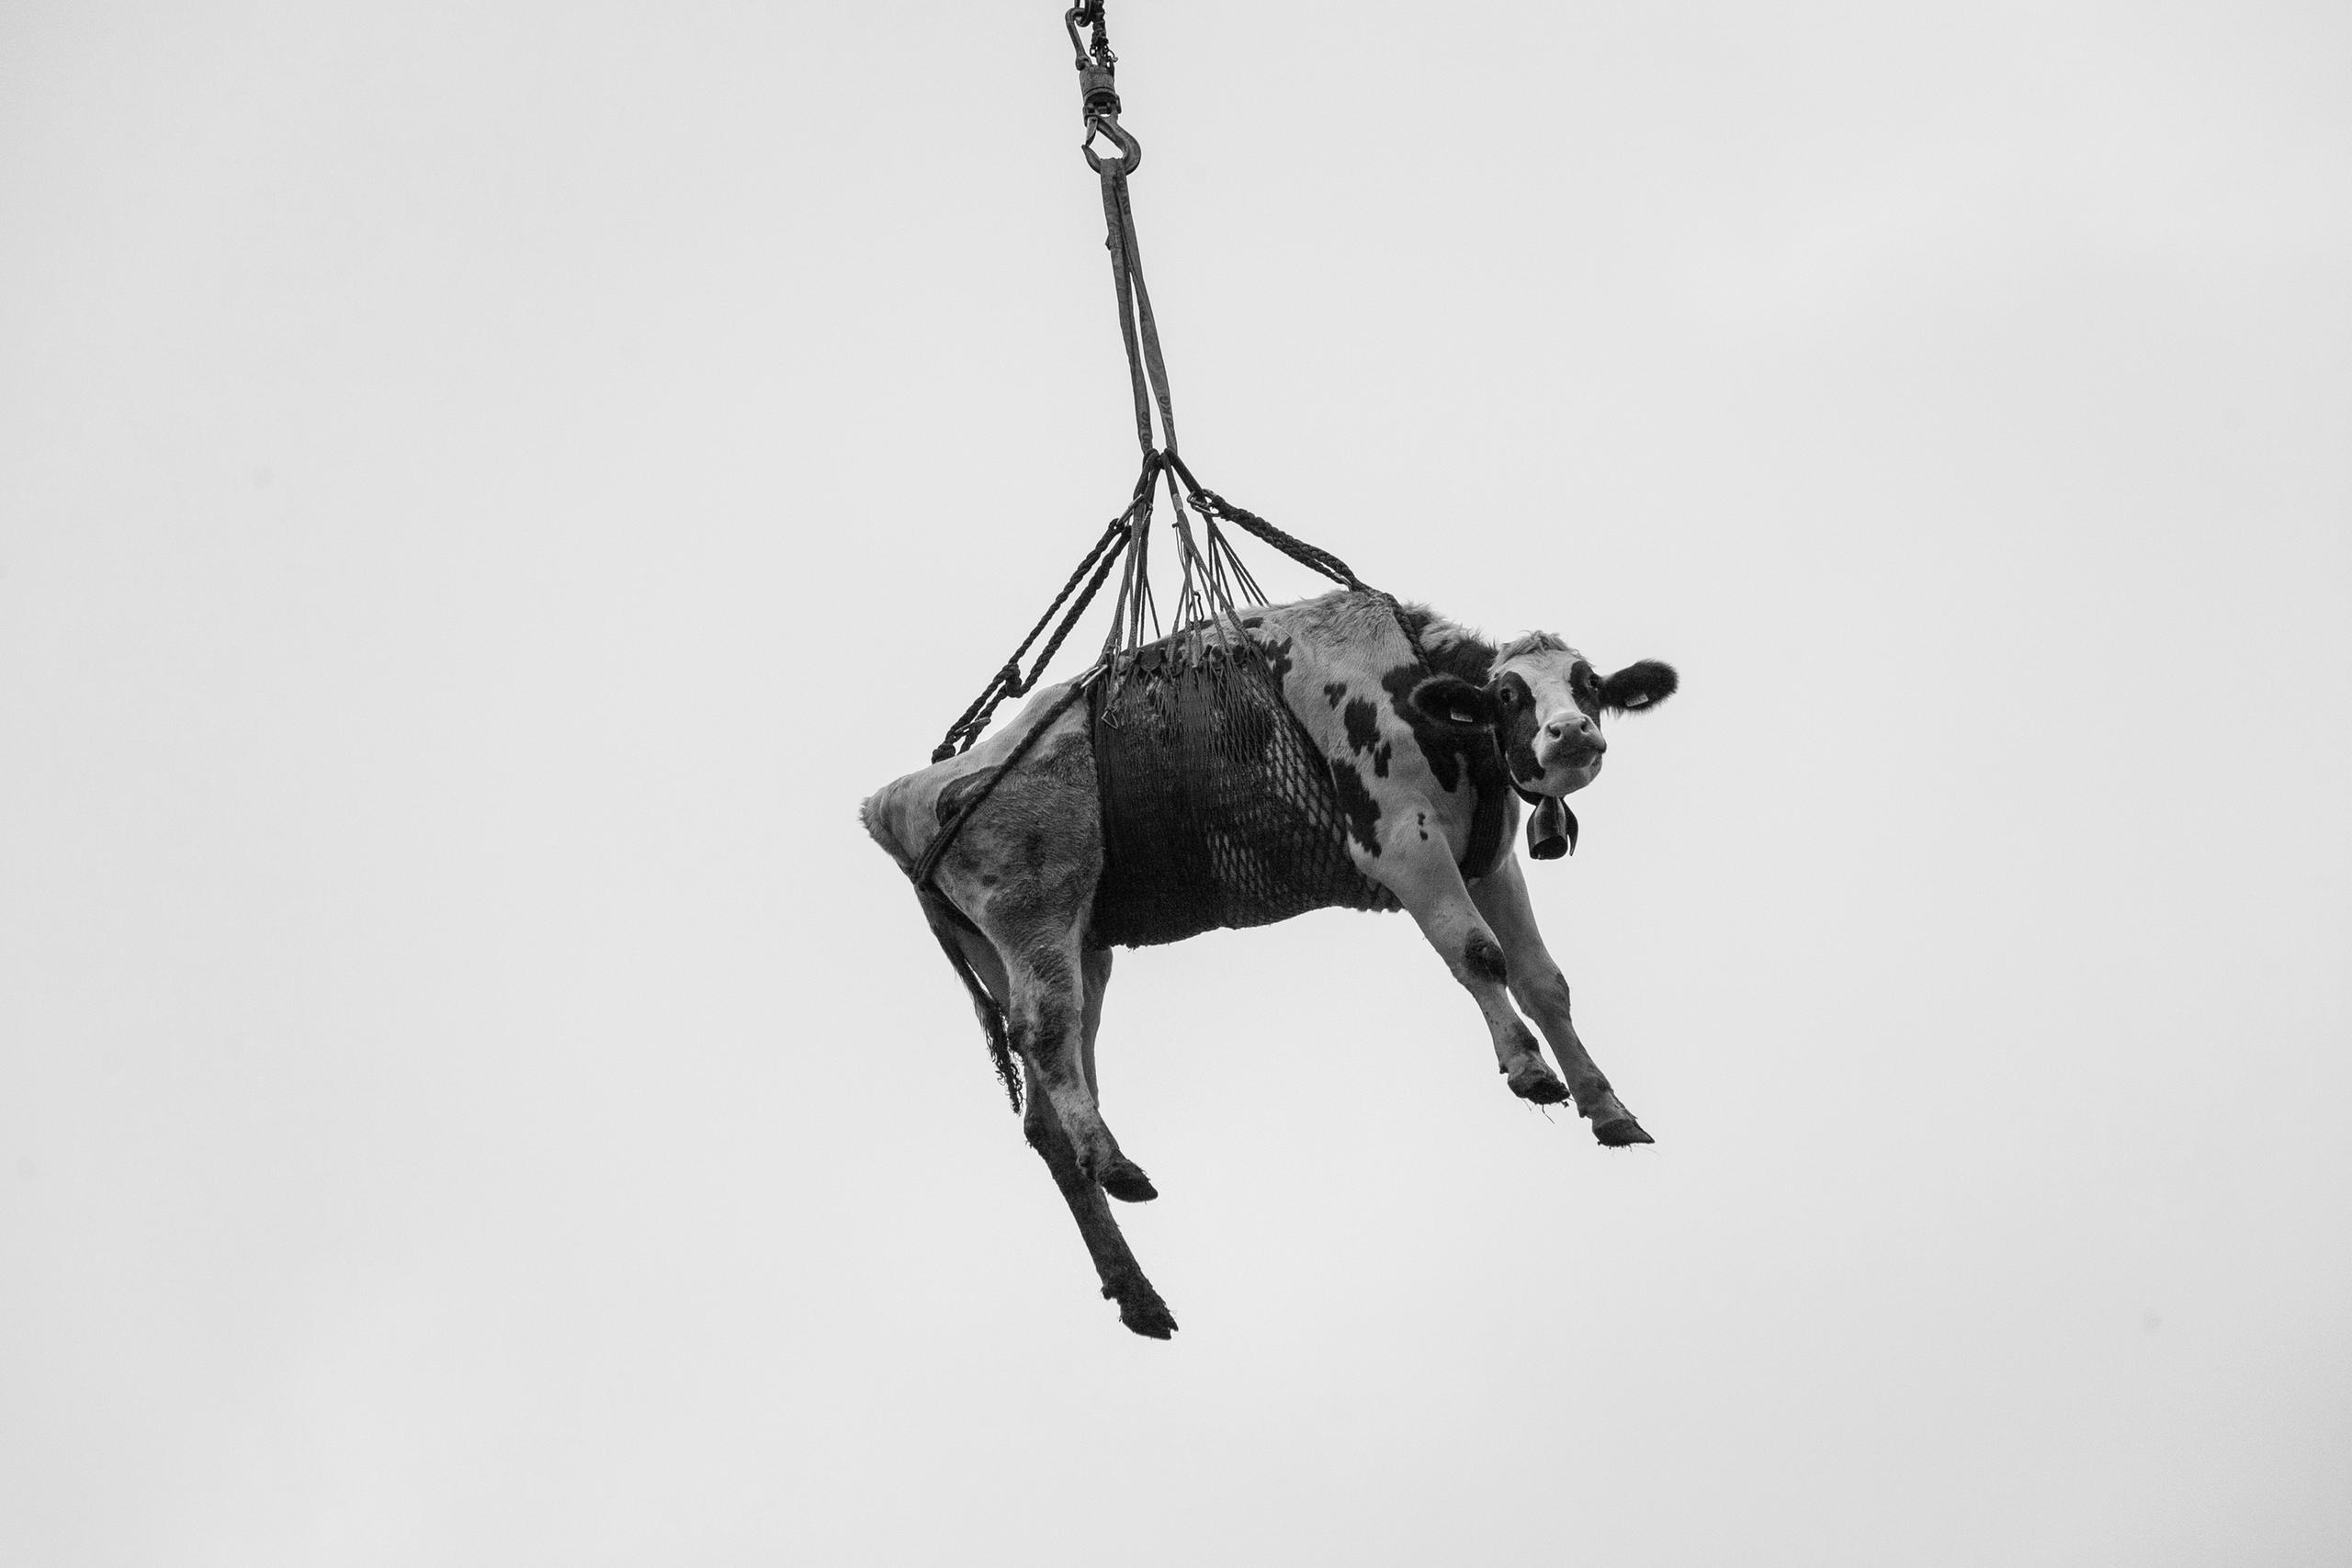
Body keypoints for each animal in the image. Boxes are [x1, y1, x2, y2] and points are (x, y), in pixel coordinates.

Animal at [861, 588, 1678, 1337]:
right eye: (1508, 693)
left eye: (1589, 685)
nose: (1572, 733)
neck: (1414, 689)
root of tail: (899, 797)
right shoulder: (1401, 844)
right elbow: (1478, 955)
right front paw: (1528, 1068)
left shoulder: (1492, 863)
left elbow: (1545, 983)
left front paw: (1607, 1105)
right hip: (1040, 913)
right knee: (1049, 1035)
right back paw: (1116, 1165)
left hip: (1068, 945)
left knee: (1048, 1114)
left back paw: (1137, 1290)